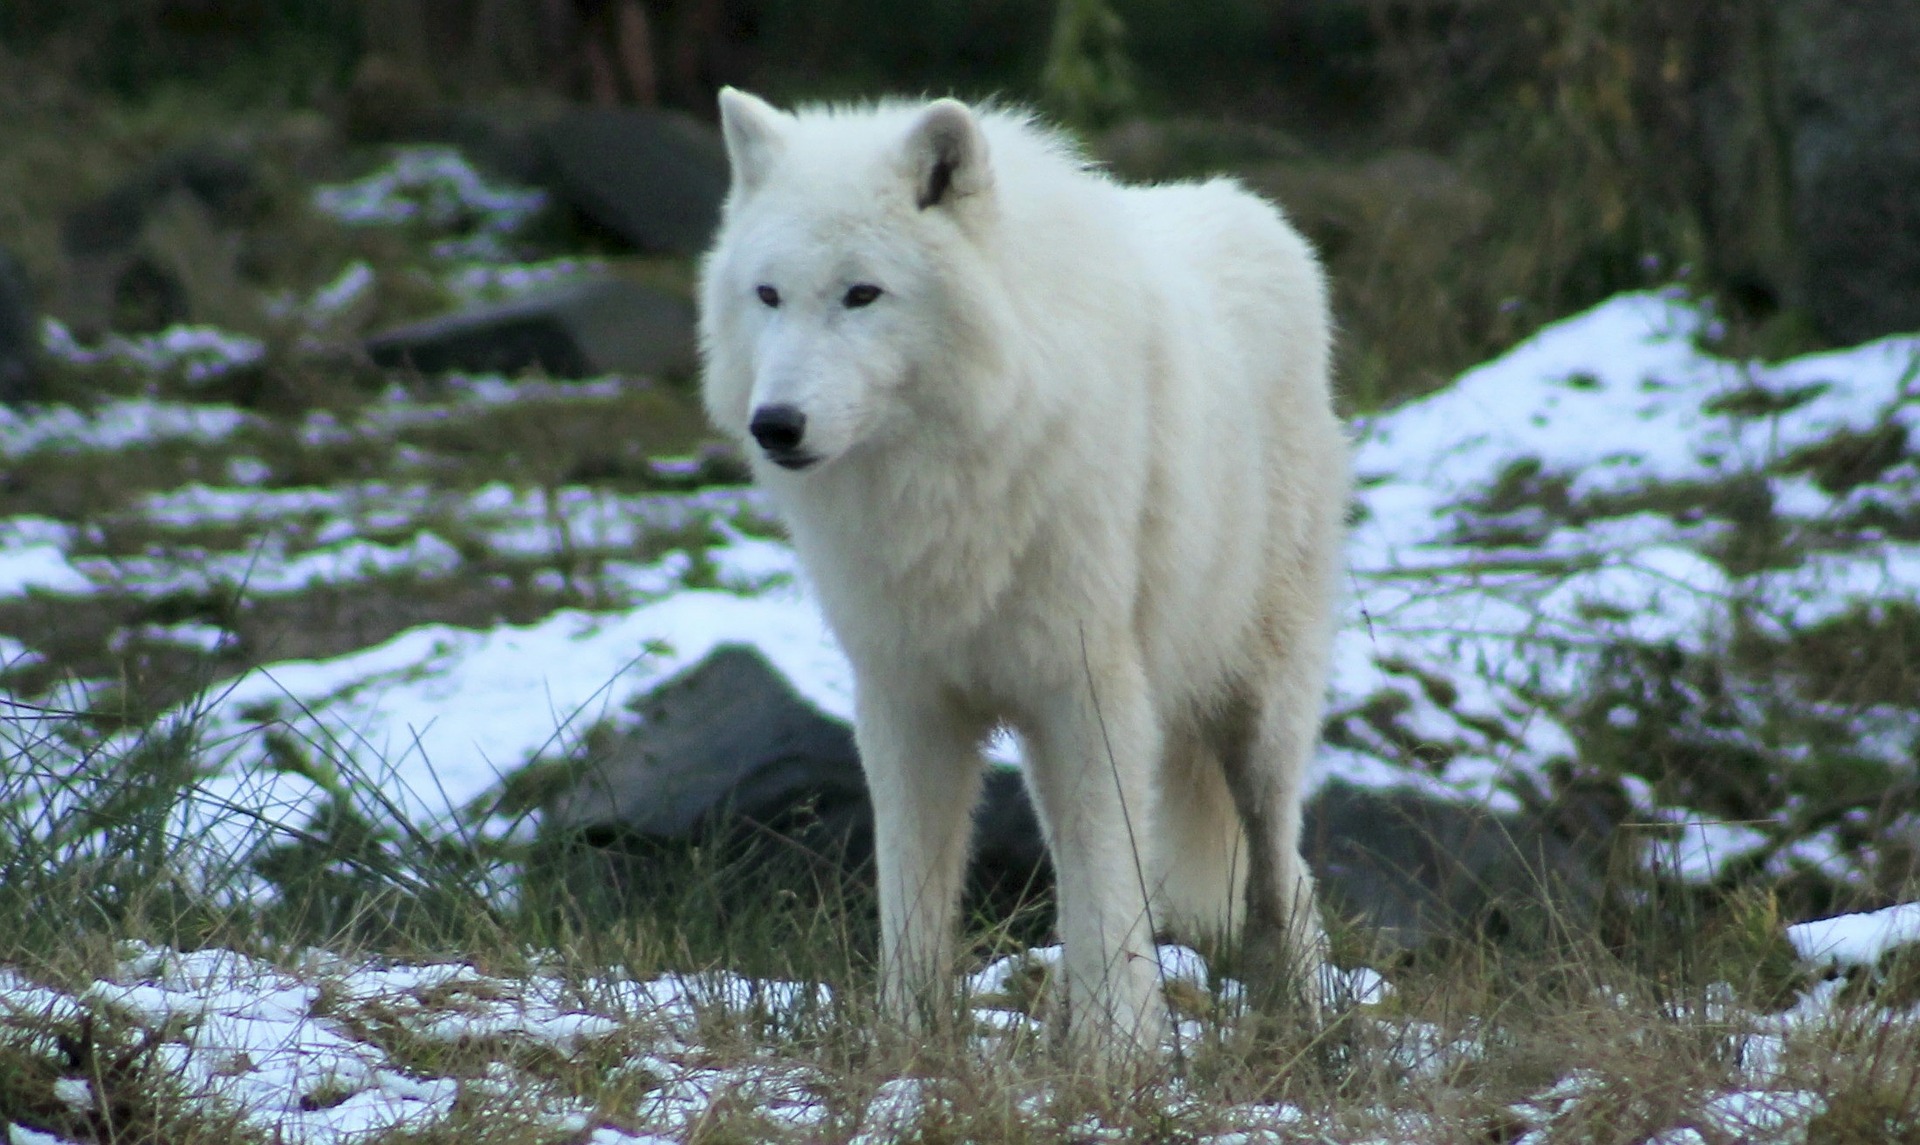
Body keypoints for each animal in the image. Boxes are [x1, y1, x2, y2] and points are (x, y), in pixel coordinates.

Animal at [695, 91, 1351, 1052]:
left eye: (862, 293)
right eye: (768, 295)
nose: (775, 424)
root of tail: (1261, 216)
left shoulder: (1090, 693)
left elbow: (1109, 892)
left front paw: (1123, 1057)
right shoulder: (907, 703)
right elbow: (914, 896)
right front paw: (908, 1042)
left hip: (1256, 717)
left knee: (1283, 875)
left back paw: (1305, 1026)